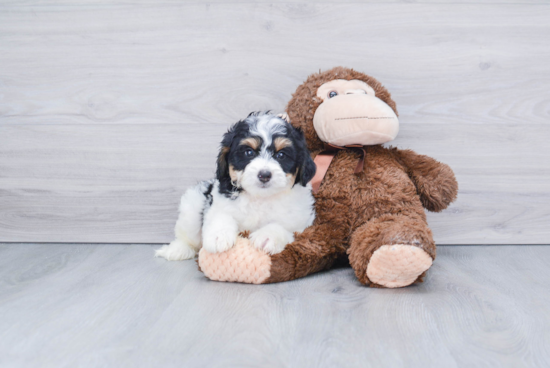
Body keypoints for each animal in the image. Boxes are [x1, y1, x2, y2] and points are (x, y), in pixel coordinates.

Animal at [157, 110, 316, 260]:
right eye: (249, 152)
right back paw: (178, 249)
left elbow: (284, 225)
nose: (264, 175)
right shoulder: (220, 203)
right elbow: (221, 216)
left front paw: (267, 236)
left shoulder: (300, 220)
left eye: (281, 155)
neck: (259, 197)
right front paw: (219, 236)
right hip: (192, 205)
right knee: (188, 235)